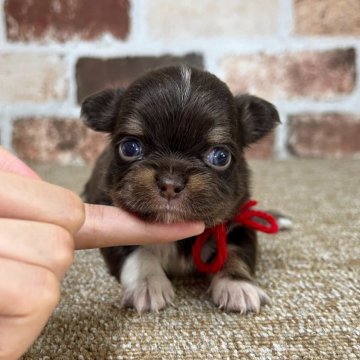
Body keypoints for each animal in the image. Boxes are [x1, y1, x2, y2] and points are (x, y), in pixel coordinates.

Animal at [82, 66, 284, 314]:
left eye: (220, 156)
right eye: (130, 148)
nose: (170, 183)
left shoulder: (238, 224)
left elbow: (234, 252)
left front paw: (238, 285)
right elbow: (137, 252)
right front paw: (147, 284)